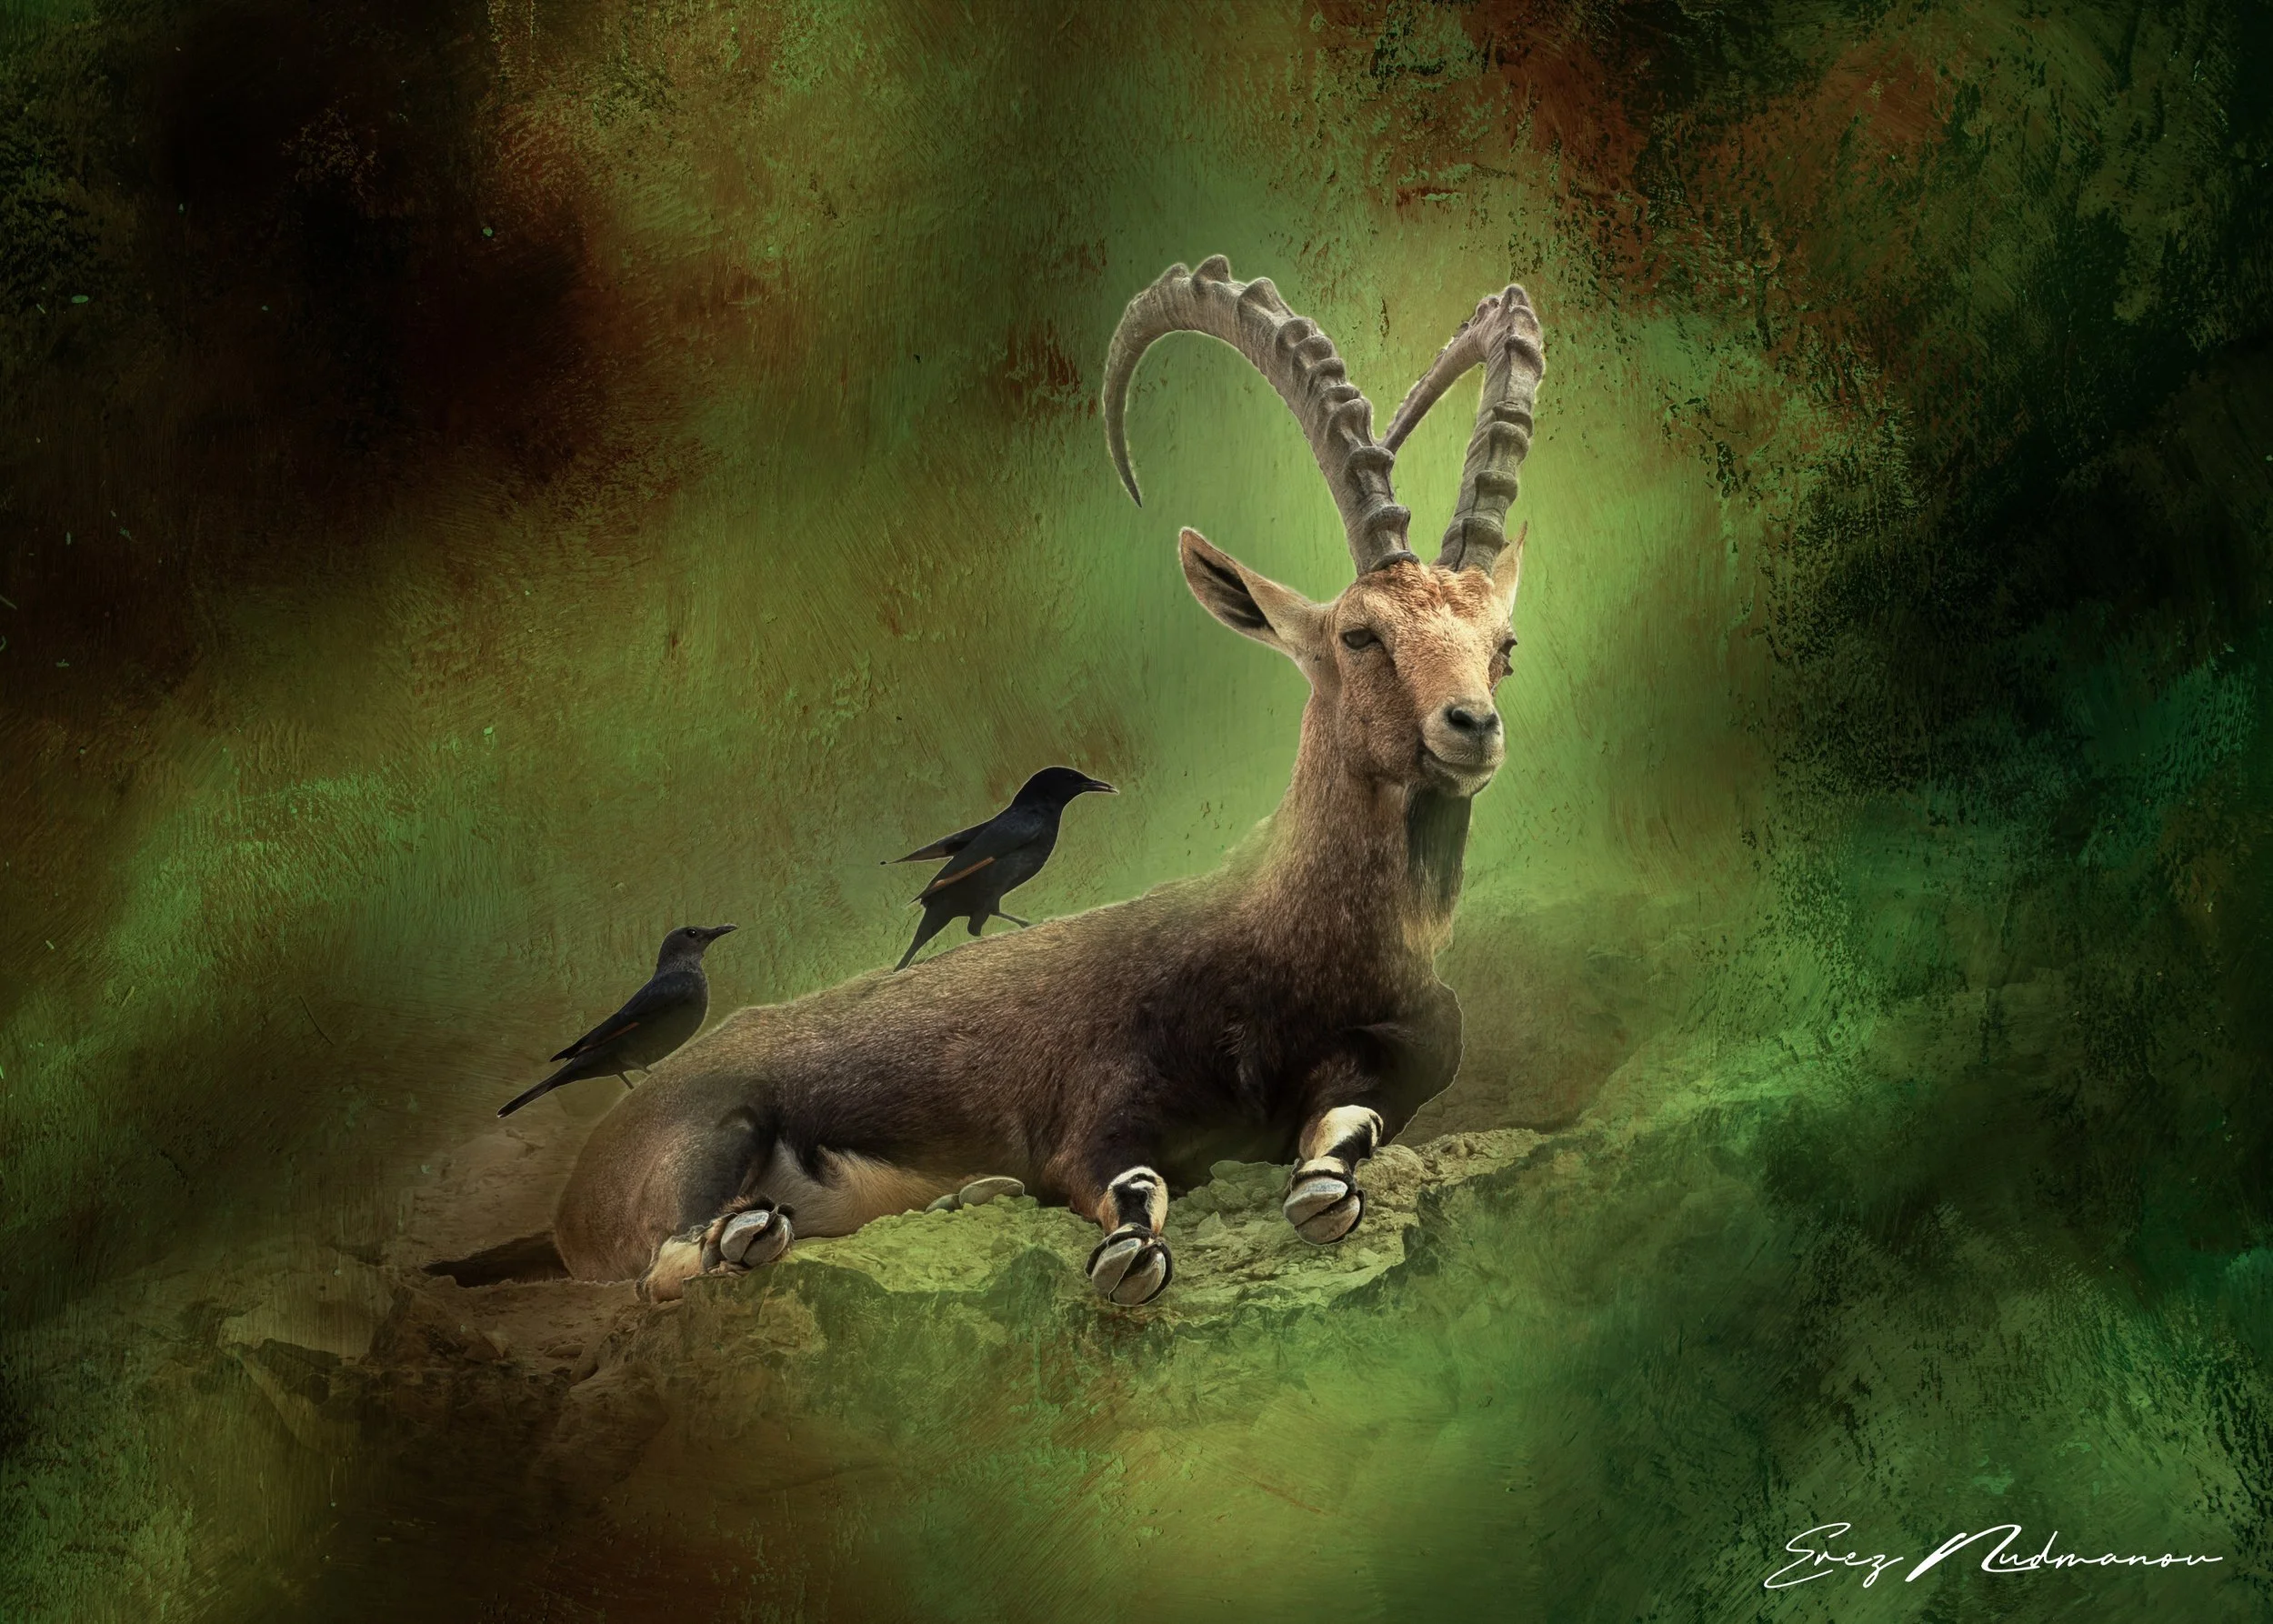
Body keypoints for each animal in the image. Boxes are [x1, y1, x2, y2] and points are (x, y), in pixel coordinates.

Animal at [550, 257, 1546, 1305]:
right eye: (1360, 633)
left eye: (1503, 645)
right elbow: (1125, 1182)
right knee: (670, 1262)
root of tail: (573, 1192)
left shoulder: (1397, 1064)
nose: (1471, 726)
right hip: (705, 1134)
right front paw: (1128, 1253)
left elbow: (1338, 1146)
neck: (1292, 942)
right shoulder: (1096, 1099)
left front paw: (1320, 1188)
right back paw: (750, 1233)